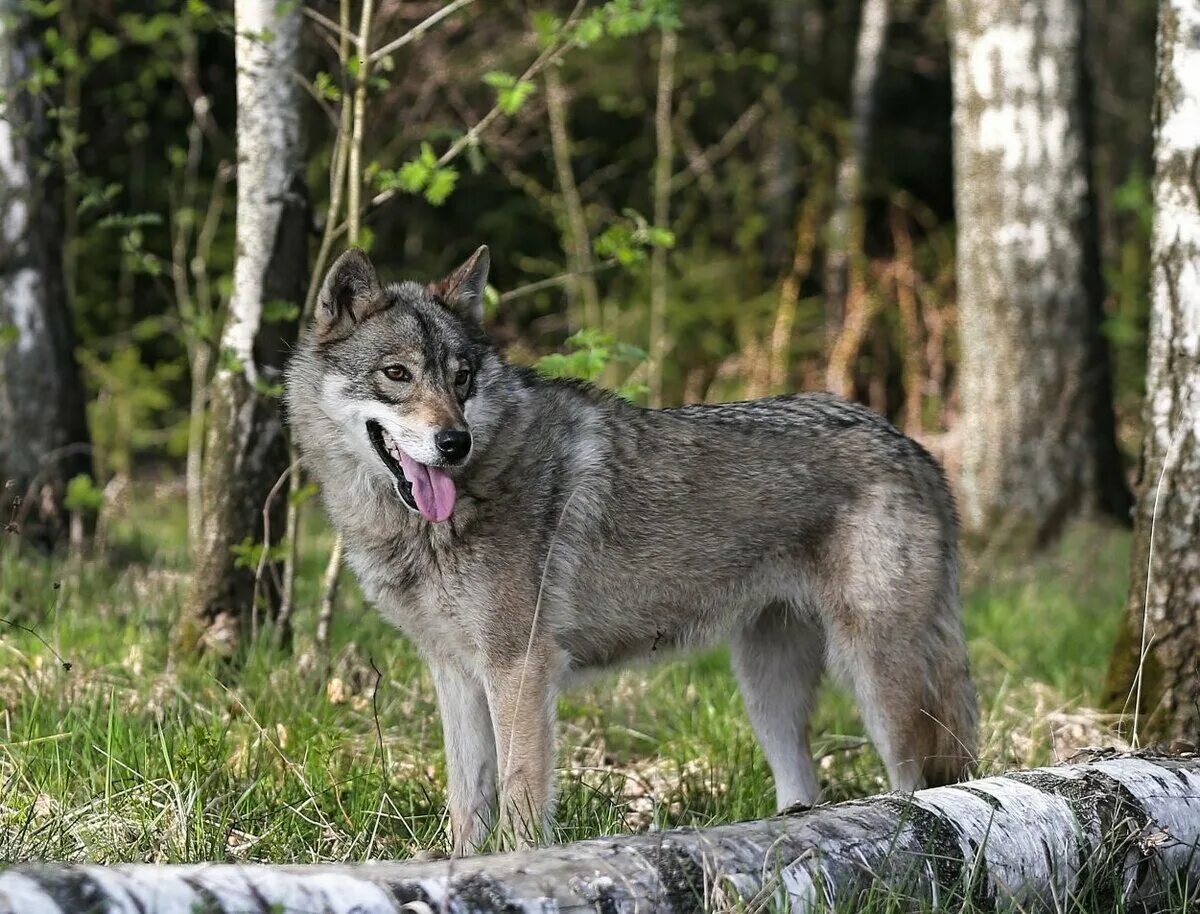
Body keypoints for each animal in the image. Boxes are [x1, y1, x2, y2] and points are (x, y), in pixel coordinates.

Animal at [285, 243, 979, 854]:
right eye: (397, 374)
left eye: (461, 379)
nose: (455, 442)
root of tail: (915, 449)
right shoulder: (455, 673)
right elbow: (467, 804)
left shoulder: (520, 669)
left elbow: (519, 799)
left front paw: (516, 864)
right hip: (766, 690)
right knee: (803, 787)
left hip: (878, 681)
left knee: (921, 789)